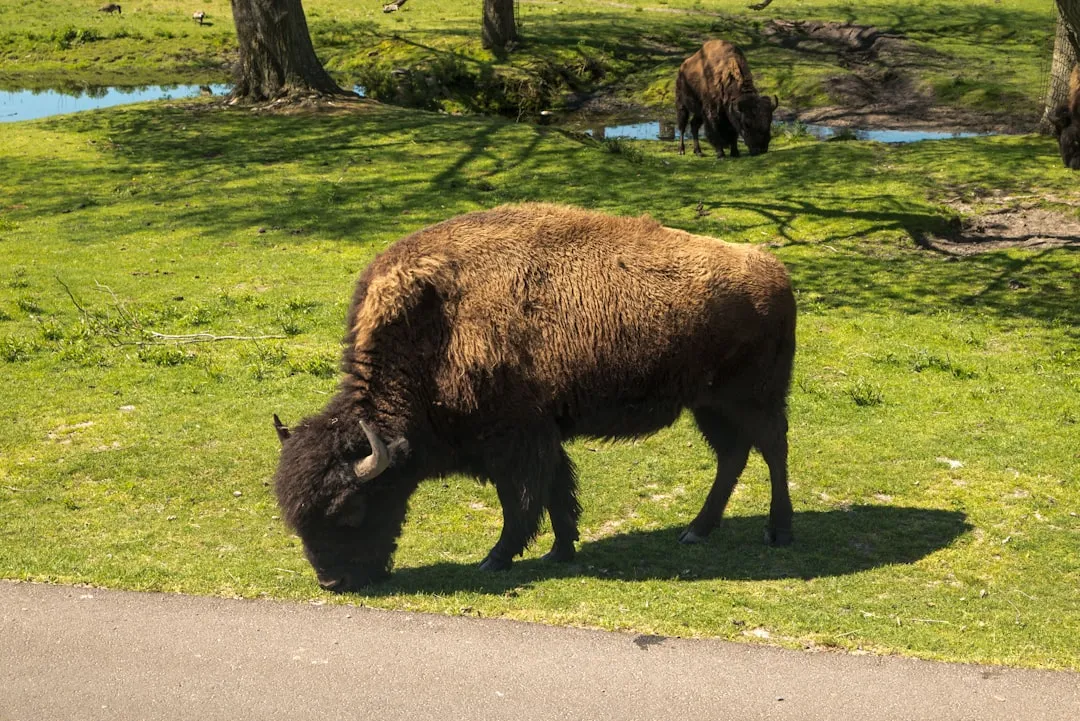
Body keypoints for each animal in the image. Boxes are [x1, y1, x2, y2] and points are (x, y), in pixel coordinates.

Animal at [273, 204, 797, 591]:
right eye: (294, 518)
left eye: (351, 510)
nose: (333, 582)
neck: (433, 332)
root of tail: (776, 271)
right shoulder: (543, 436)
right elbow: (558, 491)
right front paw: (561, 550)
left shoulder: (514, 441)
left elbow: (521, 502)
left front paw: (496, 559)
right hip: (709, 406)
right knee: (733, 456)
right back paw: (696, 531)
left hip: (754, 399)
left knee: (773, 450)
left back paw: (779, 531)